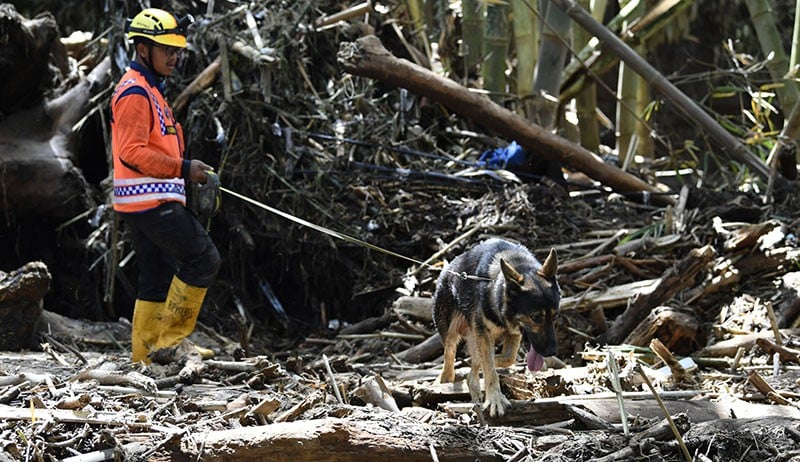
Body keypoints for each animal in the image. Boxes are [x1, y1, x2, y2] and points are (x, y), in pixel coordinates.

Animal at [434, 238, 560, 418]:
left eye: (555, 316)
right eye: (535, 318)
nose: (551, 352)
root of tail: (448, 267)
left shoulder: (513, 333)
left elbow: (507, 359)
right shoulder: (483, 333)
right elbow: (490, 367)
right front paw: (495, 399)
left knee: (473, 372)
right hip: (451, 331)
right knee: (449, 354)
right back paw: (447, 378)